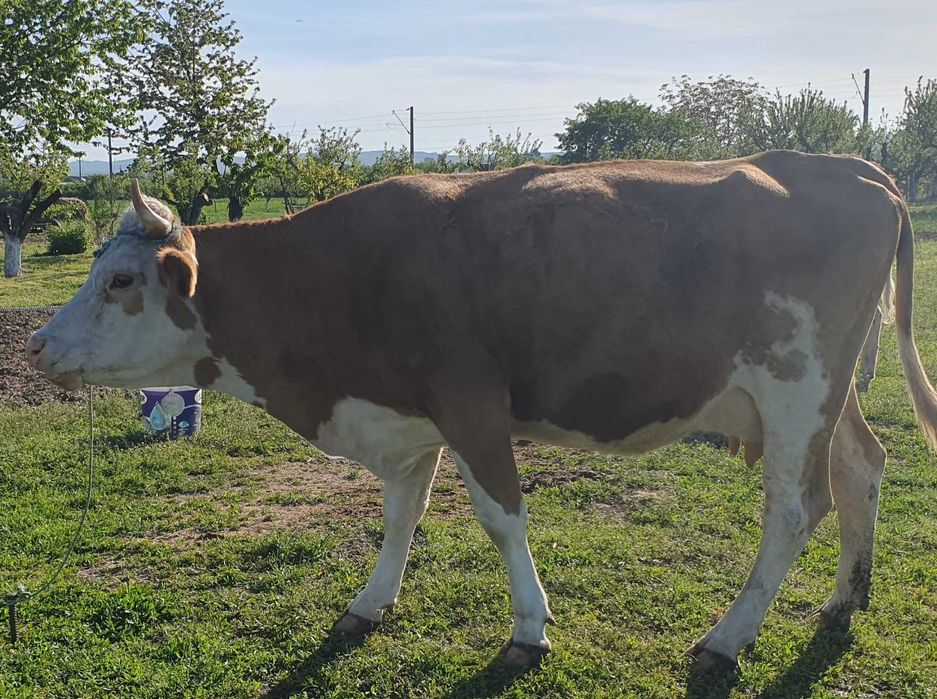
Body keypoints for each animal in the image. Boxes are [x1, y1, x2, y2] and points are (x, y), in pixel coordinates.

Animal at [25, 151, 937, 671]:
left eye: (120, 280)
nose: (34, 346)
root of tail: (853, 166)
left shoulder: (469, 401)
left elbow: (501, 518)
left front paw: (529, 627)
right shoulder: (404, 412)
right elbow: (400, 513)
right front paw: (370, 601)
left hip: (797, 384)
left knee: (794, 507)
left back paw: (726, 637)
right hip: (829, 391)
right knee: (863, 466)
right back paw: (845, 598)